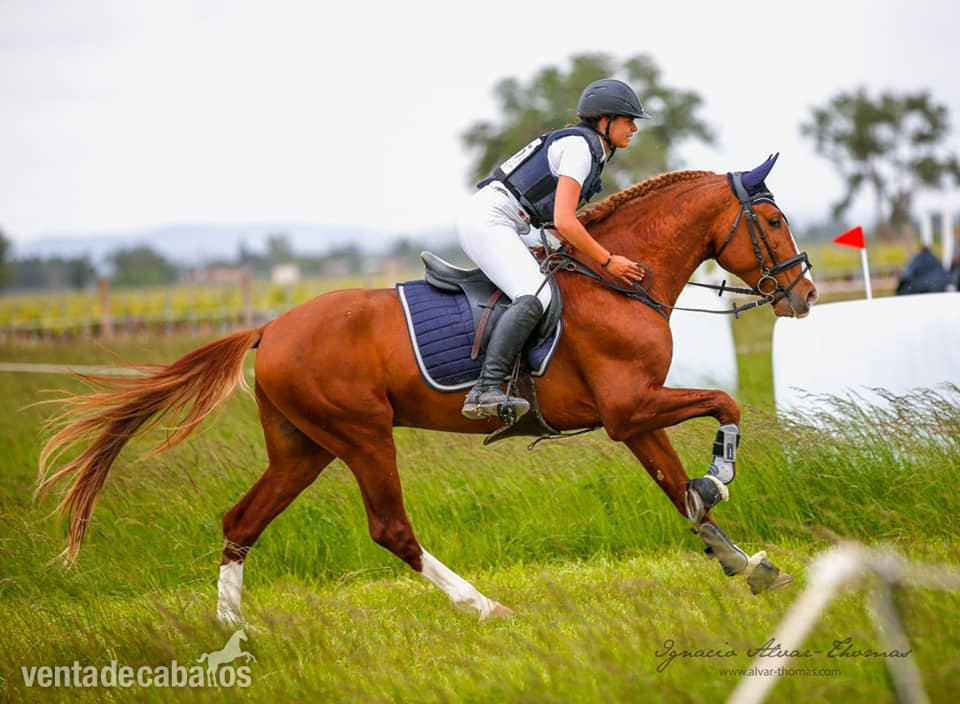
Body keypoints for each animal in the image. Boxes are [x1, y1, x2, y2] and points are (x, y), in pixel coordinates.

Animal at [37, 154, 818, 623]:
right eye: (773, 219)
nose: (805, 294)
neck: (622, 279)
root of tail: (271, 327)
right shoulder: (628, 409)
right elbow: (724, 409)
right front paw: (720, 479)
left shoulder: (633, 416)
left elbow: (678, 491)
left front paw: (747, 565)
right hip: (360, 436)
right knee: (390, 528)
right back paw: (484, 607)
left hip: (302, 448)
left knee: (242, 522)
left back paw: (234, 632)